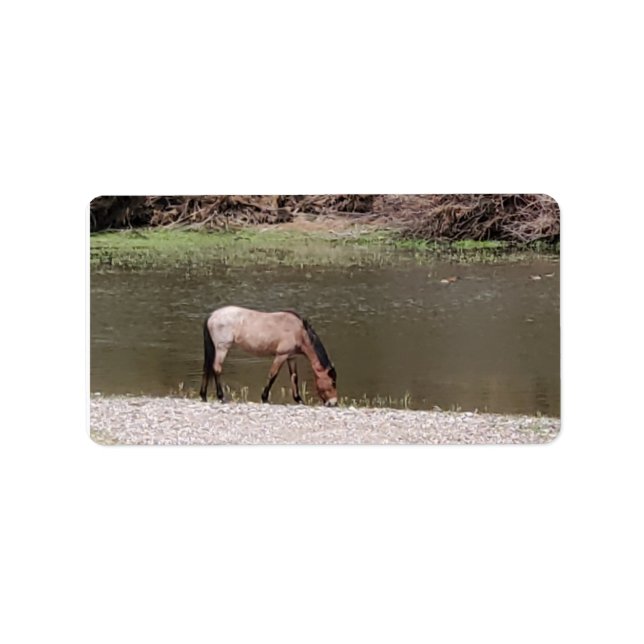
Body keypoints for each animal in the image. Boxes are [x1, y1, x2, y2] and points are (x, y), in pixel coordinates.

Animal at [200, 306, 338, 406]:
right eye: (332, 382)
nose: (334, 403)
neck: (299, 331)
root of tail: (212, 315)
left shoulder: (291, 357)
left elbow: (294, 378)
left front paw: (299, 400)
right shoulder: (281, 355)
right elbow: (273, 375)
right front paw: (265, 398)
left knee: (207, 369)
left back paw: (203, 395)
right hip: (222, 348)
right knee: (216, 369)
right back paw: (221, 397)